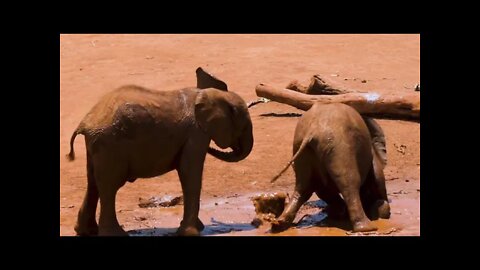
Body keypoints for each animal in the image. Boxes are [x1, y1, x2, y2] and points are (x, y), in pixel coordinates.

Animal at [68, 67, 255, 236]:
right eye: (244, 126)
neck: (210, 94)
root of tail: (85, 123)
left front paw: (198, 228)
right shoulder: (195, 134)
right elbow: (189, 172)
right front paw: (192, 232)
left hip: (98, 146)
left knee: (93, 183)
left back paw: (86, 231)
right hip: (110, 145)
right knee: (110, 186)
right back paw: (116, 234)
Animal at [270, 102, 390, 233]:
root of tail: (312, 131)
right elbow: (378, 182)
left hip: (302, 147)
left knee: (304, 187)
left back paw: (278, 224)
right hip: (339, 148)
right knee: (350, 184)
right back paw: (367, 228)